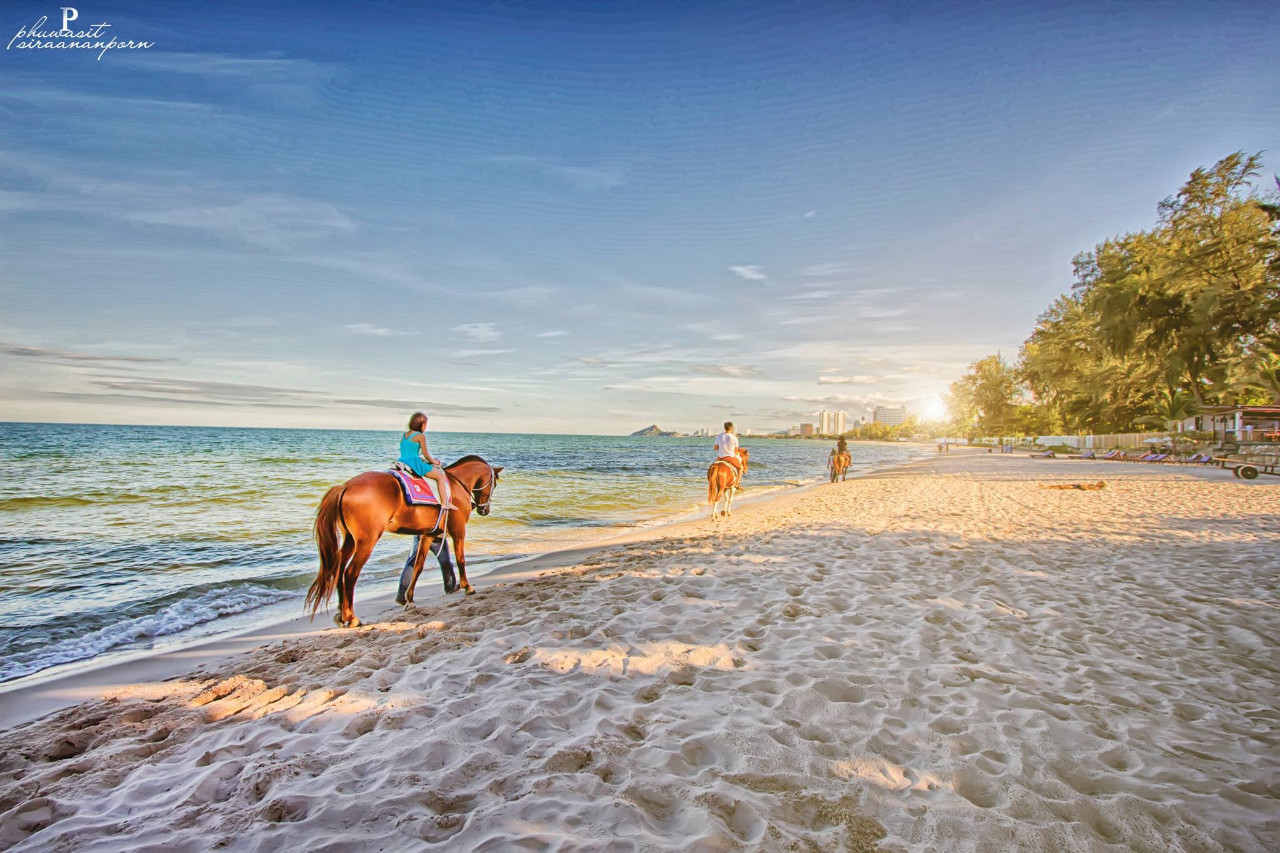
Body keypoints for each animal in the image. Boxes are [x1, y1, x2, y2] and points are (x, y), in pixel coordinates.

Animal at [307, 450, 501, 625]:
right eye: (494, 485)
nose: (484, 509)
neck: (455, 485)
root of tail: (345, 486)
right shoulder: (459, 531)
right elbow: (461, 559)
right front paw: (467, 586)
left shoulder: (427, 535)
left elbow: (418, 566)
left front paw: (410, 598)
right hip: (366, 542)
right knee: (350, 573)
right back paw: (351, 617)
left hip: (350, 540)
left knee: (340, 569)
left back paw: (342, 614)